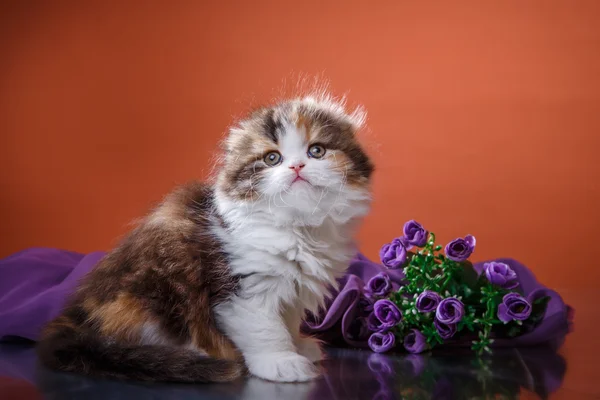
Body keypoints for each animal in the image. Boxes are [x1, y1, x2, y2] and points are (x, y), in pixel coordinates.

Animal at [37, 92, 372, 382]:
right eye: (272, 159)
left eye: (317, 151)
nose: (297, 166)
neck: (298, 227)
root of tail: (75, 317)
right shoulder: (241, 289)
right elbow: (265, 328)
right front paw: (281, 361)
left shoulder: (293, 289)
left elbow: (287, 319)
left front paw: (299, 345)